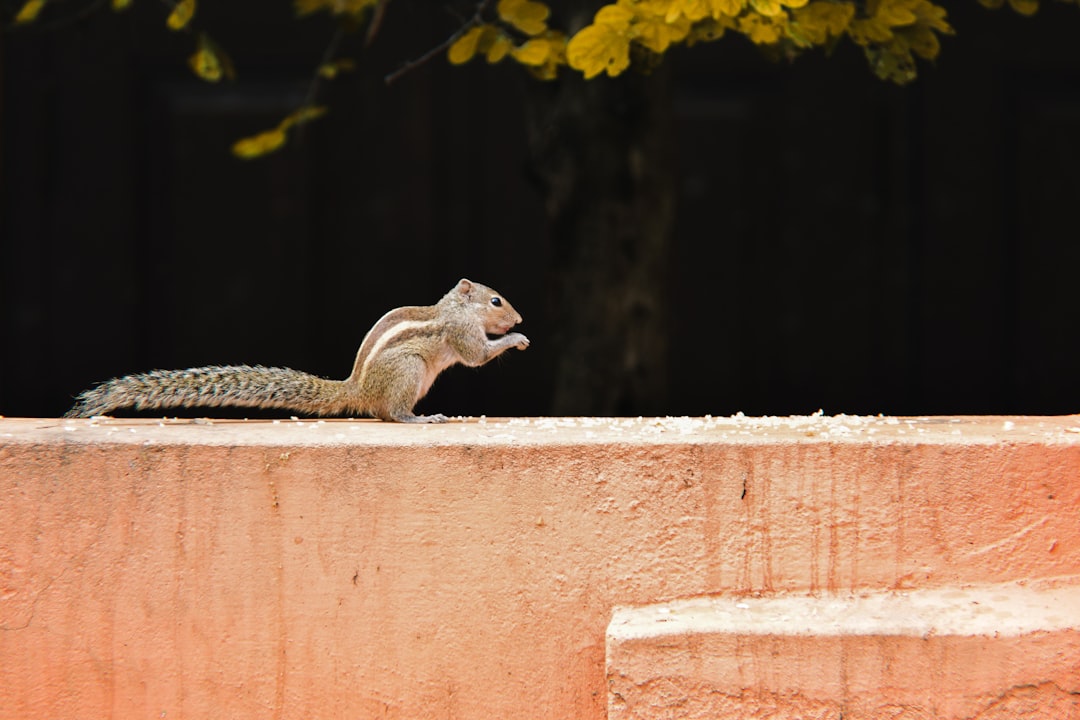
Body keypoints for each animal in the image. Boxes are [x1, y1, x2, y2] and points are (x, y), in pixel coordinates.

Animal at [65, 278, 529, 423]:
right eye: (496, 301)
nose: (520, 319)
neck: (453, 308)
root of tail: (356, 390)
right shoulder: (462, 333)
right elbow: (477, 355)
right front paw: (515, 340)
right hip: (409, 370)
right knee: (393, 413)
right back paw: (422, 418)